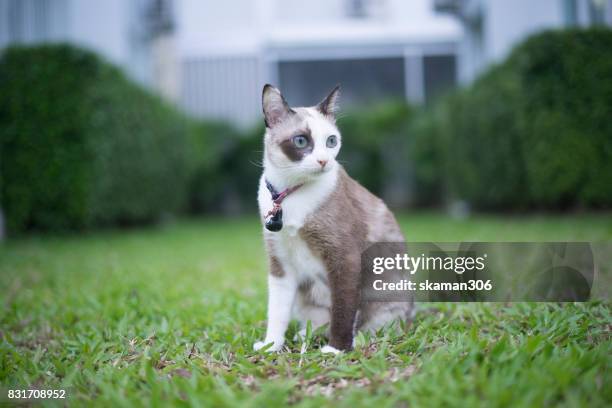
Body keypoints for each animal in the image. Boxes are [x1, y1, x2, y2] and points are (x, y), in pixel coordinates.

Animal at [253, 83, 412, 354]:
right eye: (301, 141)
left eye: (331, 141)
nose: (323, 161)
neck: (288, 194)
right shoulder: (281, 264)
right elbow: (277, 313)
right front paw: (271, 346)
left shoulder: (343, 257)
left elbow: (342, 310)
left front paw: (336, 350)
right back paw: (306, 336)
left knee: (372, 324)